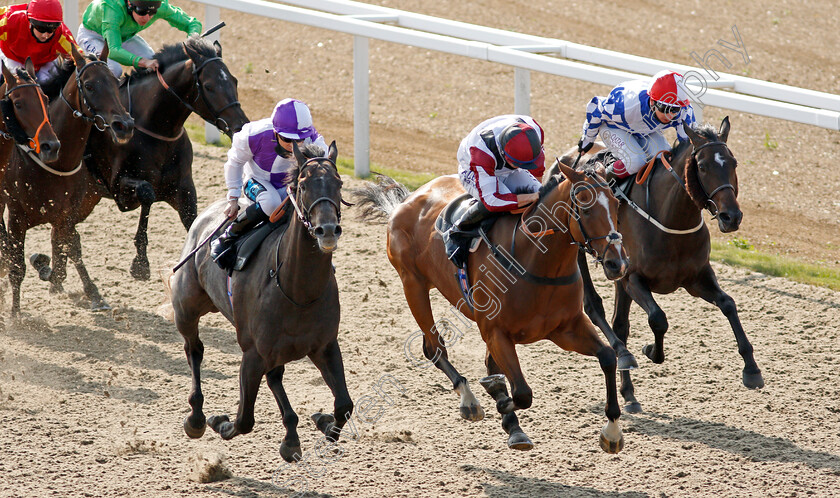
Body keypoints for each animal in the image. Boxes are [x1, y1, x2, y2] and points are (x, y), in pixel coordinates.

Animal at [0, 46, 135, 318]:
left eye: (115, 82)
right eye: (89, 86)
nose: (124, 125)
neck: (55, 165)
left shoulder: (66, 214)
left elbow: (71, 247)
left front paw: (93, 294)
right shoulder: (17, 216)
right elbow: (17, 264)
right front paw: (16, 313)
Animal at [83, 36, 251, 280]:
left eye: (235, 81)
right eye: (209, 86)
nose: (240, 126)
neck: (156, 129)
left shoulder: (184, 189)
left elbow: (193, 221)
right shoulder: (117, 185)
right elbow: (147, 193)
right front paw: (140, 263)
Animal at [167, 141, 352, 462]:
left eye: (338, 183)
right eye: (303, 185)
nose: (327, 230)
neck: (297, 291)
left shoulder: (325, 346)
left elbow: (344, 406)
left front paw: (322, 421)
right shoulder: (252, 353)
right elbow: (244, 420)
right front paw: (219, 421)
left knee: (275, 376)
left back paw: (291, 436)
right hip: (186, 309)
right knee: (194, 350)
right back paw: (197, 417)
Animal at [354, 162, 632, 452]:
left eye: (615, 204)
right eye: (585, 206)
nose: (618, 263)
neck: (535, 260)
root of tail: (406, 200)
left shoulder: (566, 329)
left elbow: (608, 357)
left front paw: (612, 431)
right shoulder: (497, 332)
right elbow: (521, 393)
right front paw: (497, 396)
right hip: (413, 285)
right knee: (433, 347)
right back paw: (469, 399)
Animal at [556, 117, 764, 412]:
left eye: (733, 163)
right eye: (702, 166)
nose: (731, 217)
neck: (671, 219)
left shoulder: (696, 277)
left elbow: (728, 304)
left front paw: (752, 369)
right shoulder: (633, 278)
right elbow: (658, 318)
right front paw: (651, 351)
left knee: (620, 323)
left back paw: (629, 391)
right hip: (580, 251)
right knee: (594, 306)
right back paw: (625, 364)